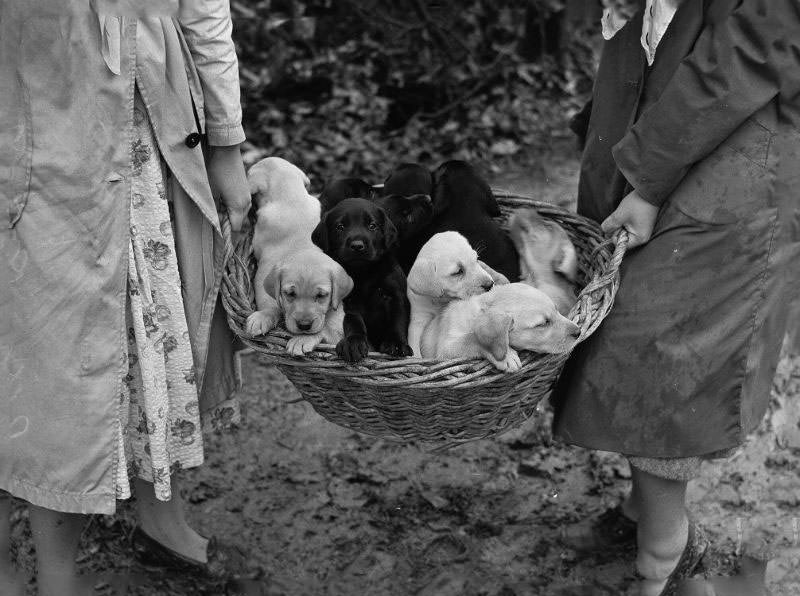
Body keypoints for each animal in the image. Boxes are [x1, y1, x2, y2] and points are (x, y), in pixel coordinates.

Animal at [312, 198, 412, 360]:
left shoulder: (396, 296)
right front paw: (354, 343)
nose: (357, 246)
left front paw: (397, 344)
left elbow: (398, 320)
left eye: (372, 226)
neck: (364, 272)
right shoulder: (350, 303)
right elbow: (354, 322)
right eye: (340, 227)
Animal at [418, 282, 580, 370]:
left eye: (557, 310)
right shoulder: (446, 349)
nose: (579, 332)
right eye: (543, 324)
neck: (477, 314)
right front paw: (507, 355)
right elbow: (472, 338)